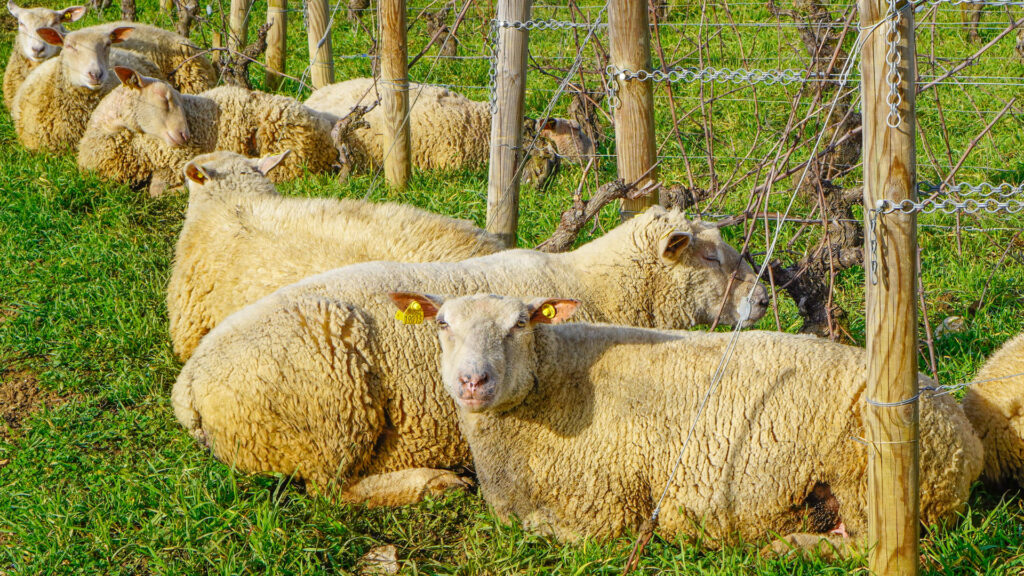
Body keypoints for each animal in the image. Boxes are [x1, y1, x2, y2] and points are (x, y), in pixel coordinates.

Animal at [77, 67, 336, 195]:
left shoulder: (178, 160)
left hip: (286, 145)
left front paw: (179, 190)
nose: (185, 135)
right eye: (165, 98)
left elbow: (156, 190)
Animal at [171, 206, 771, 507]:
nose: (764, 299)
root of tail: (190, 385)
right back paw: (431, 483)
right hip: (329, 415)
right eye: (711, 257)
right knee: (334, 492)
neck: (599, 285)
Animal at [408, 292, 983, 550]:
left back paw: (785, 546)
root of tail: (966, 438)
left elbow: (548, 529)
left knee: (868, 545)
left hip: (872, 479)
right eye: (442, 324)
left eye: (520, 325)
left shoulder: (604, 510)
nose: (473, 381)